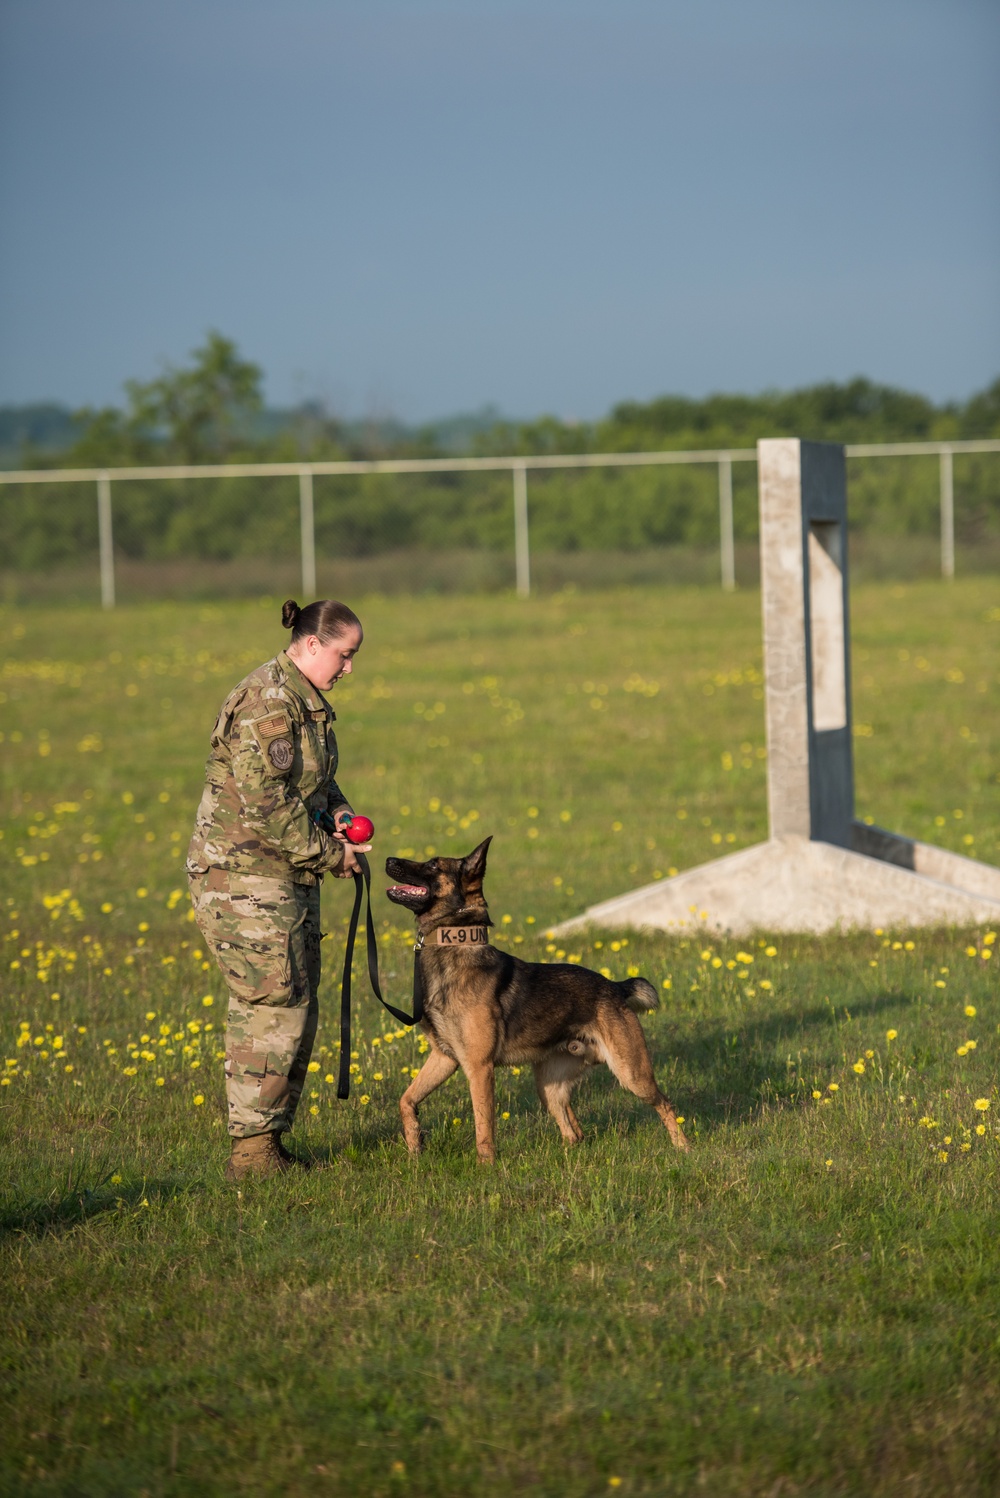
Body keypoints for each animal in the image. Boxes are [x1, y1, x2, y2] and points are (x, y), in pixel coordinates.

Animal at [386, 838, 691, 1162]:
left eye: (433, 864)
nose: (388, 859)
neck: (454, 941)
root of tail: (615, 987)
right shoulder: (444, 1058)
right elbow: (406, 1100)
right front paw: (414, 1146)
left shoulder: (479, 1068)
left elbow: (483, 1128)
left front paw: (486, 1166)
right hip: (549, 1088)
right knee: (573, 1132)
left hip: (632, 1074)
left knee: (664, 1104)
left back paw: (683, 1147)